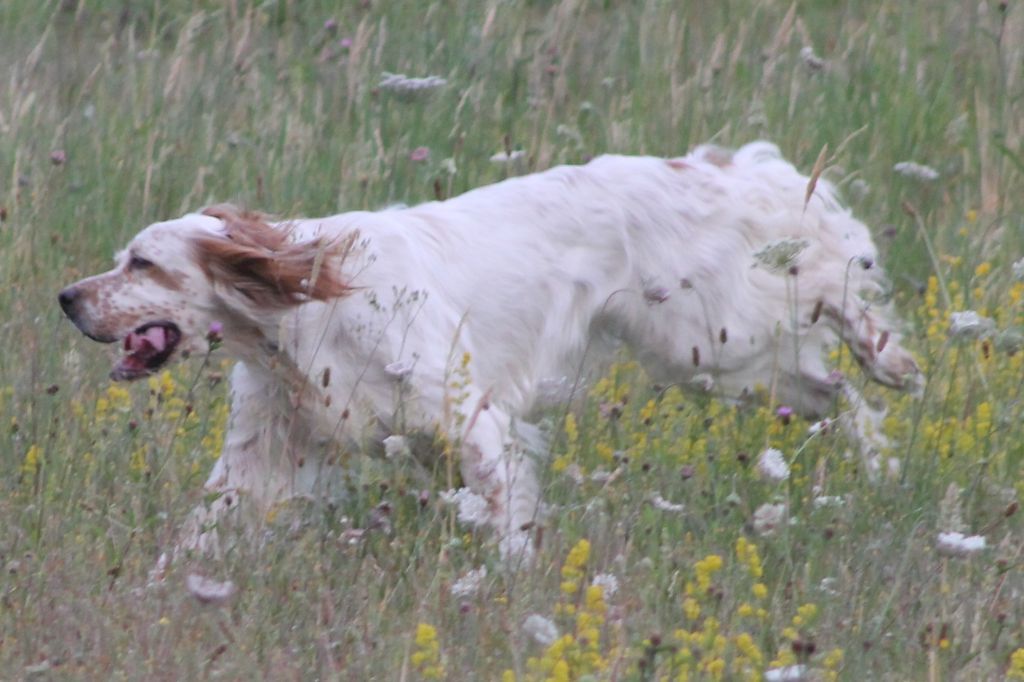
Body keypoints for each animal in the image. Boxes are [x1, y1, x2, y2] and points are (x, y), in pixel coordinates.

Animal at [59, 142, 925, 557]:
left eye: (142, 264)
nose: (66, 298)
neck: (297, 316)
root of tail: (713, 168)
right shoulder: (266, 452)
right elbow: (196, 533)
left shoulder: (474, 421)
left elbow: (508, 519)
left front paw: (515, 587)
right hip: (721, 367)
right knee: (834, 395)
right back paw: (883, 466)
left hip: (710, 337)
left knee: (835, 300)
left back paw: (892, 361)